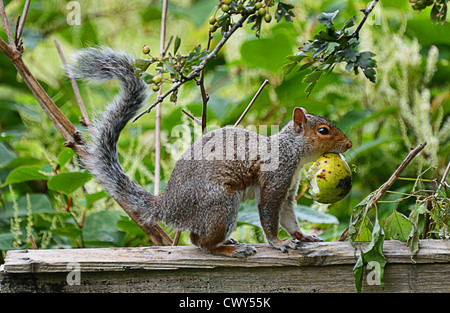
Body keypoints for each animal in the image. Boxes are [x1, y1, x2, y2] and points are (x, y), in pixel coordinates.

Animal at [70, 46, 352, 256]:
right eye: (323, 131)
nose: (348, 144)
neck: (291, 151)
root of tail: (168, 206)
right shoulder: (275, 180)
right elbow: (269, 214)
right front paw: (278, 243)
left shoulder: (289, 189)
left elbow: (288, 216)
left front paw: (302, 236)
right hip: (220, 202)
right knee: (200, 242)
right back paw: (228, 249)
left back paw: (229, 243)